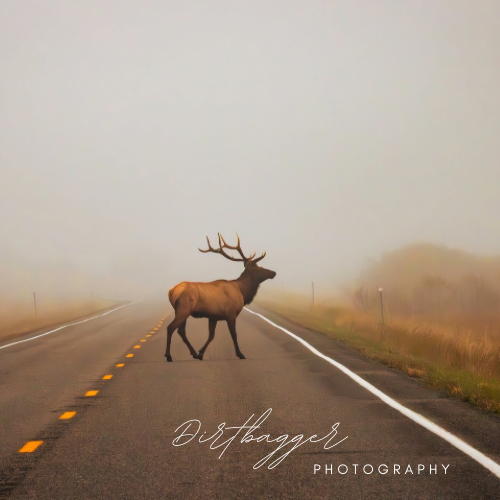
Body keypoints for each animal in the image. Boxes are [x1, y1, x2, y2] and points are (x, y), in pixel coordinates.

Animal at [167, 232, 278, 362]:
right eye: (257, 267)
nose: (273, 273)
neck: (242, 292)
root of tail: (172, 291)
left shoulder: (213, 316)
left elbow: (211, 336)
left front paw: (201, 353)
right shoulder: (231, 314)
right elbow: (234, 334)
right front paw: (240, 354)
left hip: (181, 311)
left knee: (181, 331)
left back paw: (193, 353)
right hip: (183, 309)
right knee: (171, 328)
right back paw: (168, 356)